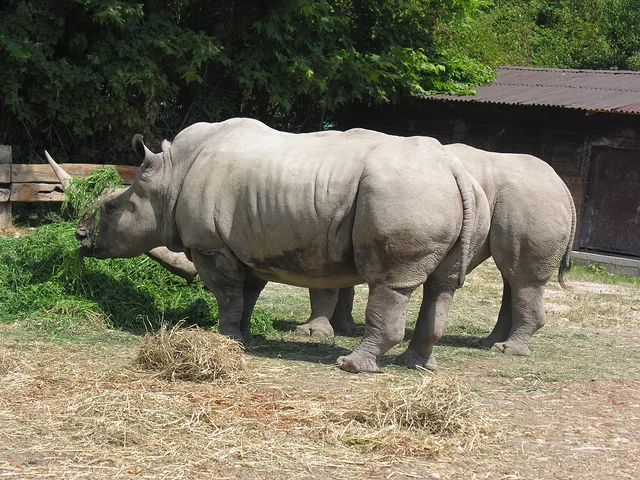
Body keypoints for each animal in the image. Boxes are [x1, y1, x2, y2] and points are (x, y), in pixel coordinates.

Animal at [46, 118, 491, 373]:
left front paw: (226, 339)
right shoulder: (246, 246)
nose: (80, 238)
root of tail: (454, 169)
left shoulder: (211, 245)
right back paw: (417, 366)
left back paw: (351, 365)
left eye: (111, 207)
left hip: (404, 193)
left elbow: (226, 293)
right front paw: (242, 337)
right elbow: (247, 293)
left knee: (390, 282)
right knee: (442, 284)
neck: (169, 177)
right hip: (451, 194)